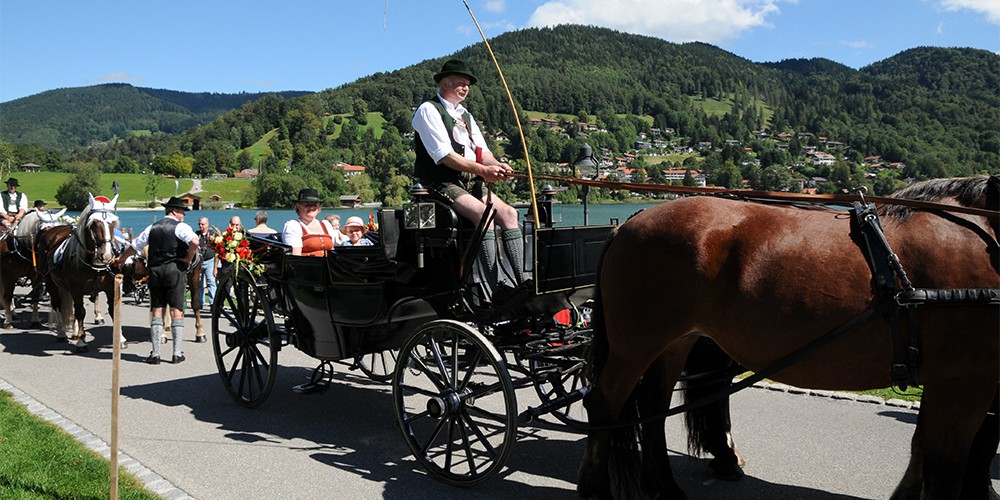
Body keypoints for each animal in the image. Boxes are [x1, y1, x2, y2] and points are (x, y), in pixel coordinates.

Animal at [580, 176, 1000, 500]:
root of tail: (629, 222)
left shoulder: (950, 381)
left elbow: (925, 451)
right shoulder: (964, 382)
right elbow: (947, 460)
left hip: (673, 344)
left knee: (653, 412)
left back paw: (666, 486)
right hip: (634, 346)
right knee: (603, 405)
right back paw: (596, 489)